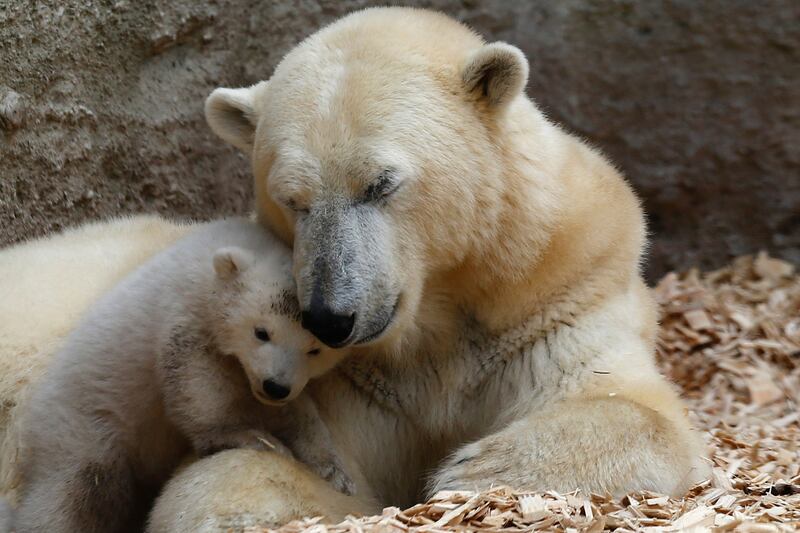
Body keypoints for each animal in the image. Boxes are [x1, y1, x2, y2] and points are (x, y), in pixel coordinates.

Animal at [148, 7, 708, 528]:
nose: (331, 318)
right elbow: (267, 461)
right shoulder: (355, 380)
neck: (439, 315)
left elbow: (636, 408)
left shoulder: (556, 302)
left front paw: (475, 471)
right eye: (292, 199)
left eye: (380, 183)